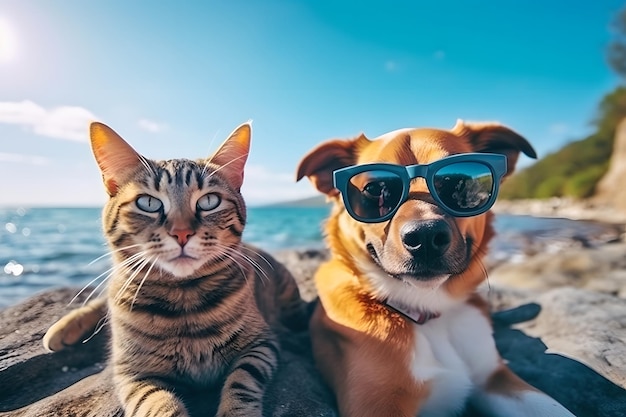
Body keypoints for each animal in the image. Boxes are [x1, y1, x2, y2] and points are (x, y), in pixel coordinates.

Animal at [42, 121, 306, 416]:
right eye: (148, 203)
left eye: (209, 201)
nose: (181, 233)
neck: (184, 300)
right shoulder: (132, 373)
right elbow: (158, 404)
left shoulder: (260, 345)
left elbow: (241, 382)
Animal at [294, 118, 572, 414]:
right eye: (374, 189)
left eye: (459, 181)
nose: (425, 236)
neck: (428, 310)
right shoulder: (375, 404)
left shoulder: (494, 377)